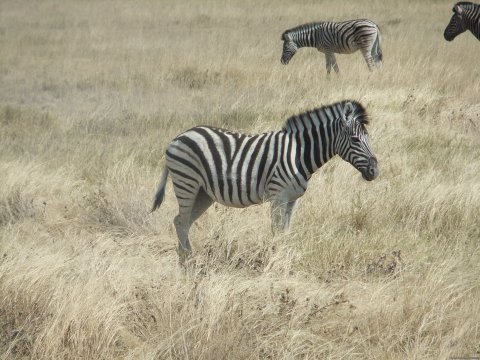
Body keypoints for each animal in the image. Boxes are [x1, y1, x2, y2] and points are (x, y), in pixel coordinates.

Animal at [151, 100, 378, 256]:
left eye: (368, 138)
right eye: (355, 139)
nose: (375, 170)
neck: (298, 153)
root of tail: (178, 137)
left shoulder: (292, 200)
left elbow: (286, 231)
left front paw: (285, 258)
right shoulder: (278, 196)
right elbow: (276, 231)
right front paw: (275, 260)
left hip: (203, 193)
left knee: (182, 221)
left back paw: (187, 258)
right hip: (186, 182)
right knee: (181, 222)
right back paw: (187, 262)